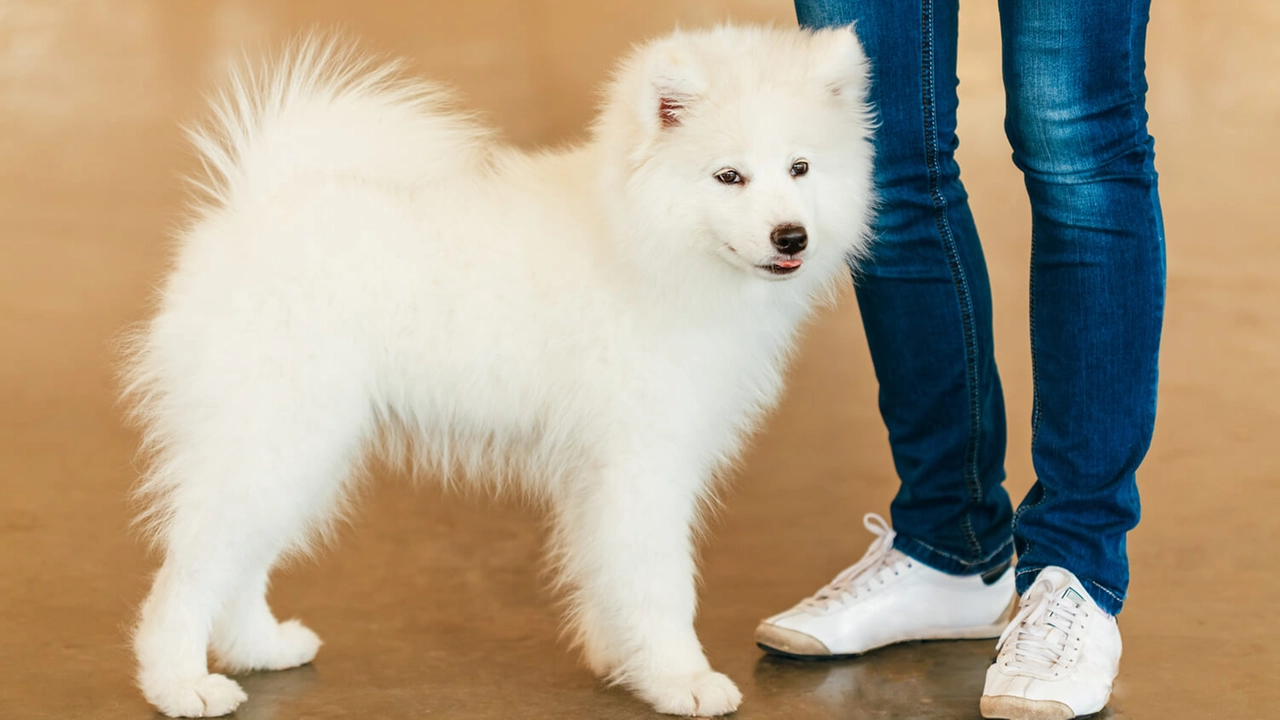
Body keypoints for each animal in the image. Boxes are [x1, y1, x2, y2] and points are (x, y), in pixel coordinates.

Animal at [120, 23, 875, 717]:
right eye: (729, 176)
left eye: (800, 168)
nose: (791, 236)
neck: (643, 243)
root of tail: (252, 209)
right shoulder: (644, 460)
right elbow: (660, 579)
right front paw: (680, 678)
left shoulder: (595, 470)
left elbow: (606, 570)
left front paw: (621, 659)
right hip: (279, 435)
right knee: (189, 573)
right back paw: (181, 685)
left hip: (293, 448)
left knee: (239, 561)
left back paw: (262, 647)